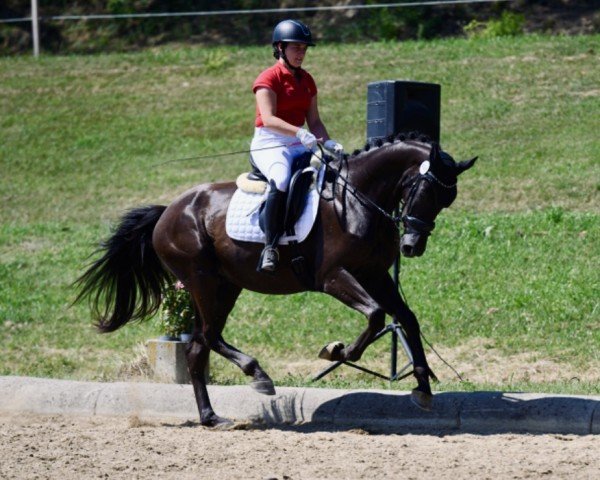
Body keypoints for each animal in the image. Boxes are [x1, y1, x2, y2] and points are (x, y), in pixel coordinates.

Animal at [77, 133, 476, 426]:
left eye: (446, 199)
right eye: (425, 191)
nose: (412, 246)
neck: (357, 199)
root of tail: (168, 211)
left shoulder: (375, 275)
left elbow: (406, 318)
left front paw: (423, 386)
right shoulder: (334, 277)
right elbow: (377, 315)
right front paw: (337, 351)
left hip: (225, 284)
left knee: (200, 345)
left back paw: (212, 415)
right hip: (204, 281)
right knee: (206, 338)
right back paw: (254, 377)